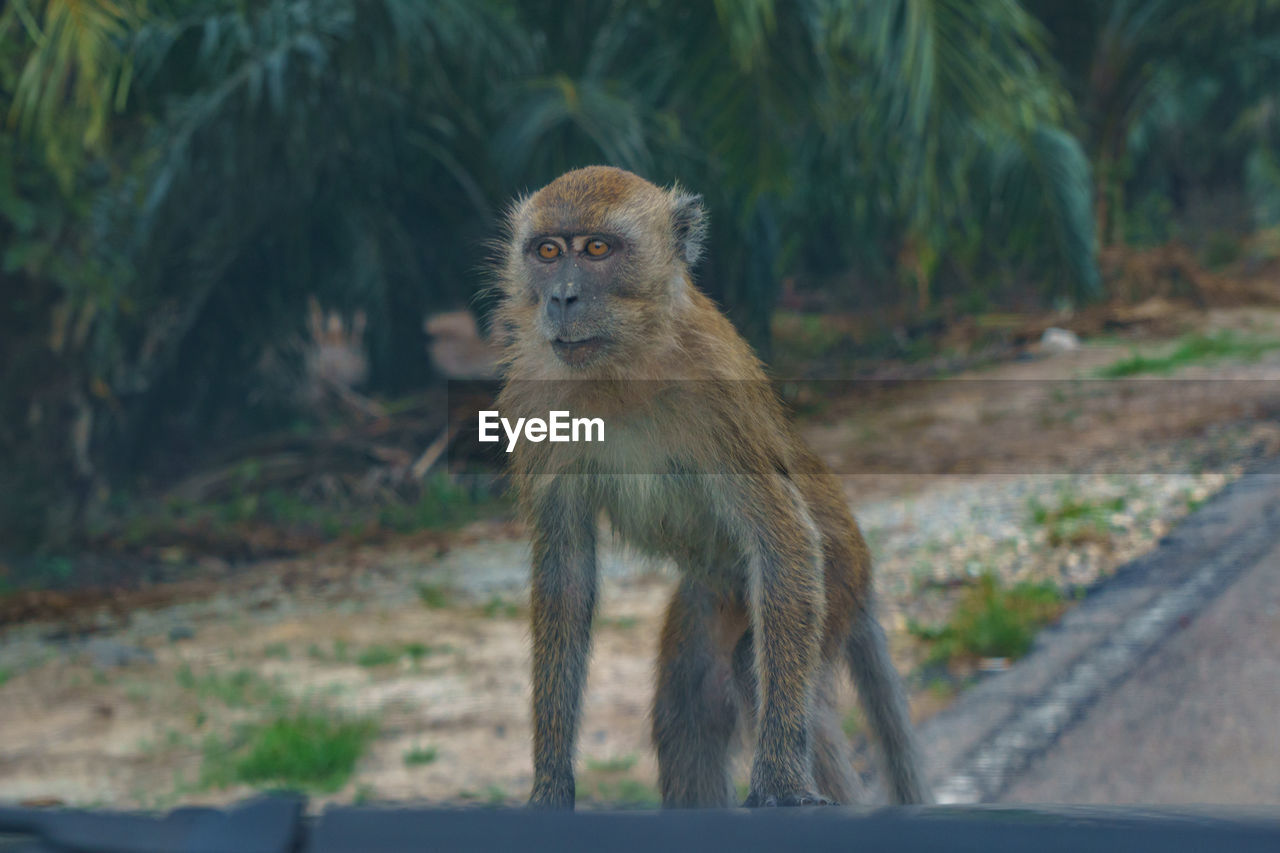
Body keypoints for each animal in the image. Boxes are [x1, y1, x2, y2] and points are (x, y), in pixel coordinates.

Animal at [491, 163, 931, 804]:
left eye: (597, 249)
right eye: (547, 251)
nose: (561, 297)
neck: (625, 367)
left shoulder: (719, 388)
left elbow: (782, 537)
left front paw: (780, 778)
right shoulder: (535, 394)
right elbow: (565, 570)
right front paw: (550, 782)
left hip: (837, 576)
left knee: (759, 666)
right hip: (711, 598)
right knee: (689, 713)